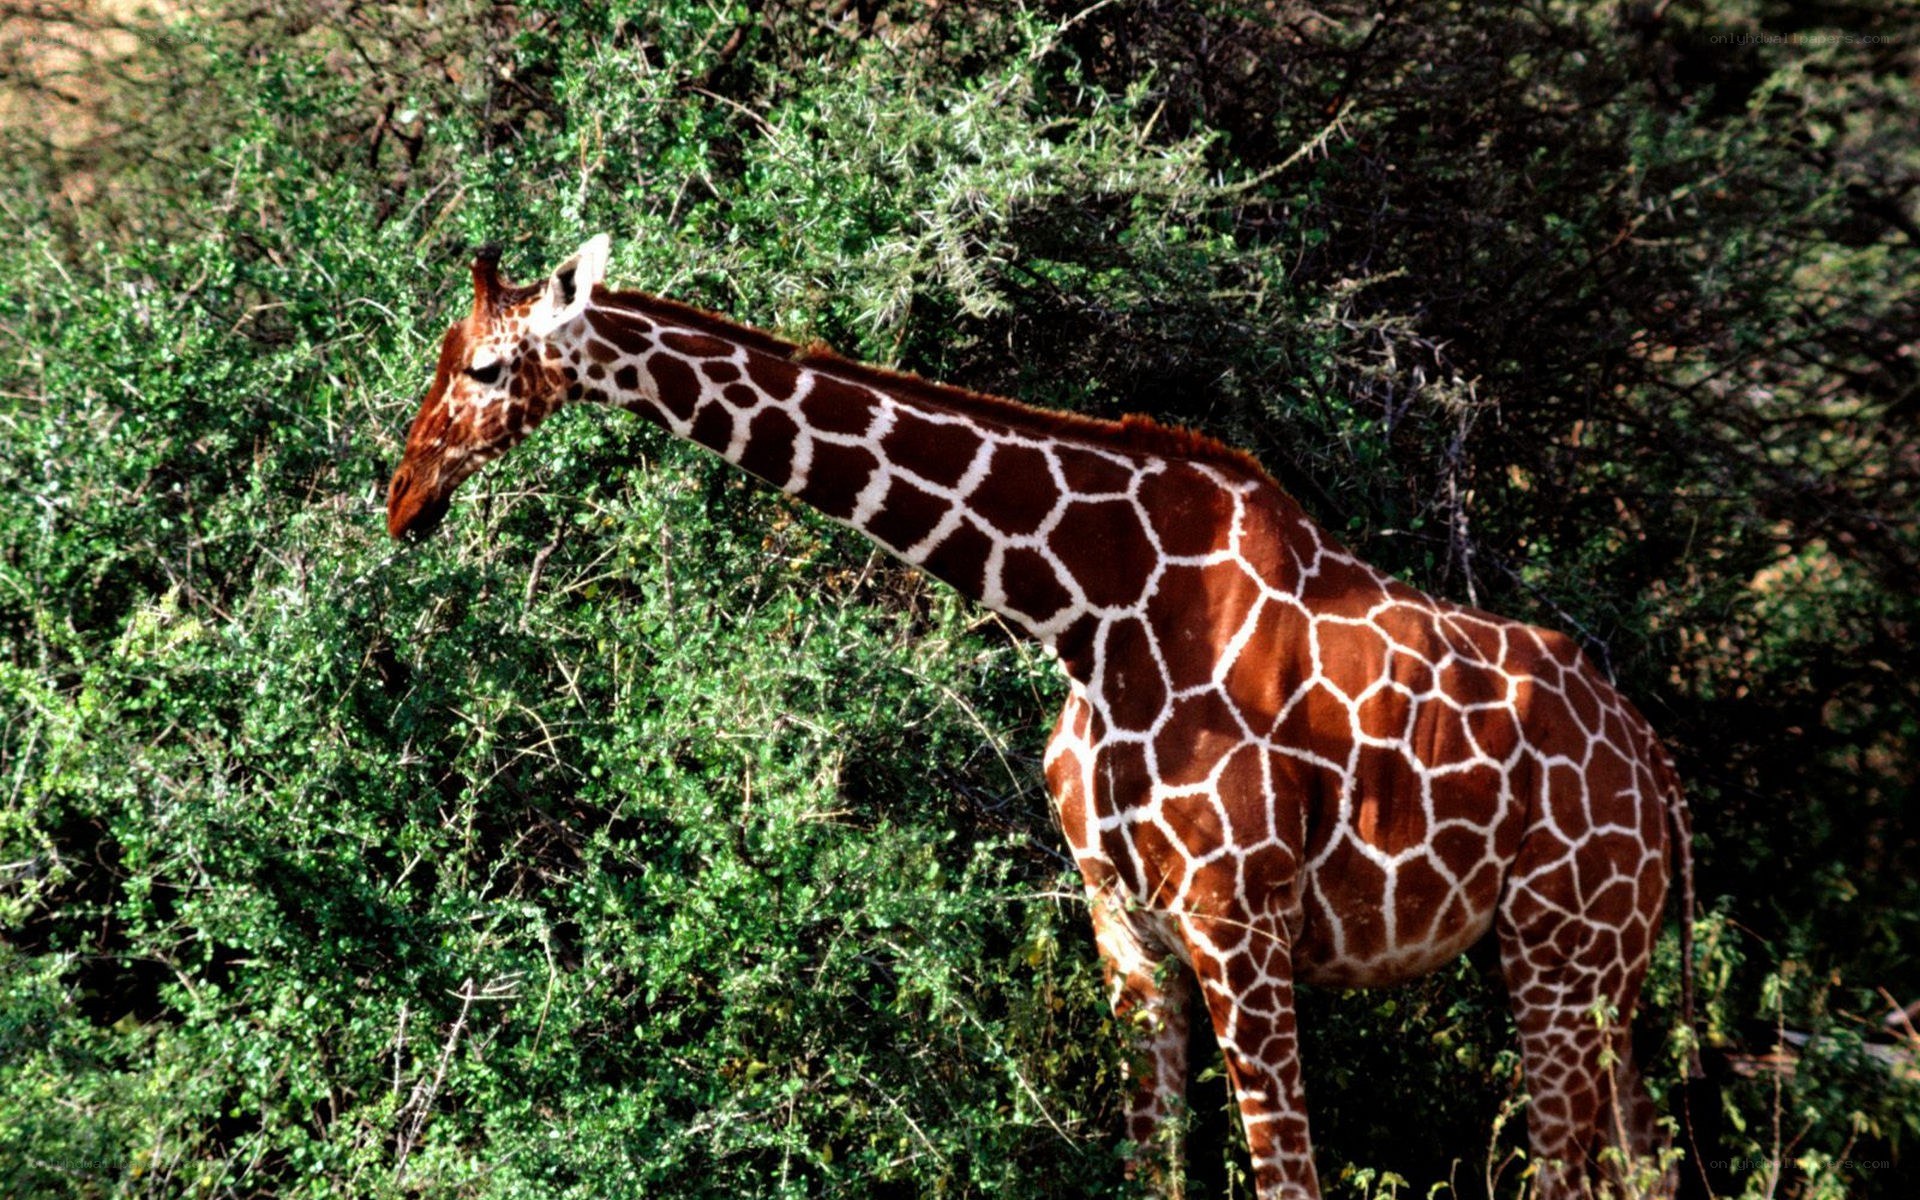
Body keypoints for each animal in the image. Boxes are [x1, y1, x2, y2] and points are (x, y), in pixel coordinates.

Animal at [386, 236, 1696, 1199]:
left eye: (487, 370)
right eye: (444, 354)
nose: (404, 498)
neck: (1092, 610)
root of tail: (1658, 770)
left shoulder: (1241, 926)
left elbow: (1289, 1179)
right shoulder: (1126, 929)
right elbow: (1155, 1172)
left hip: (1559, 947)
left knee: (1570, 1173)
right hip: (1605, 969)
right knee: (1640, 1163)